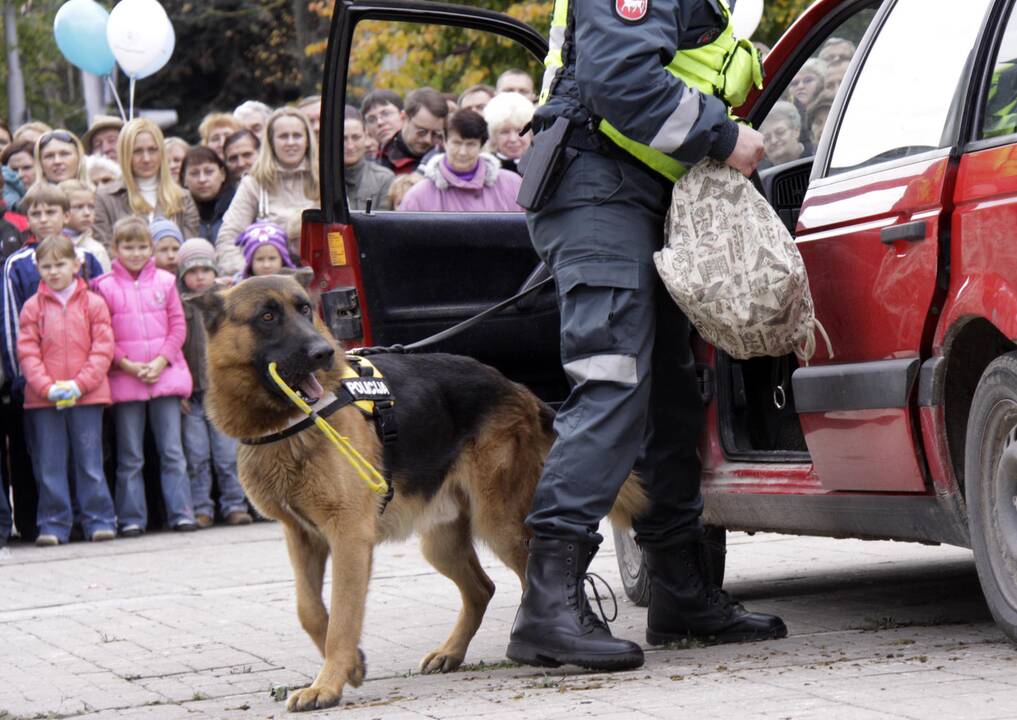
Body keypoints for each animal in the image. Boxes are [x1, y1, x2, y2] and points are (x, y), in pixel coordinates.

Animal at [197, 274, 642, 707]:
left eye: (305, 309)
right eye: (267, 316)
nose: (323, 353)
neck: (287, 423)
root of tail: (518, 389)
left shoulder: (349, 537)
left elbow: (342, 616)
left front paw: (328, 684)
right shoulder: (302, 536)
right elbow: (309, 610)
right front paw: (352, 666)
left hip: (500, 524)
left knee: (532, 574)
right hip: (441, 542)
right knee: (482, 588)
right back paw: (453, 651)